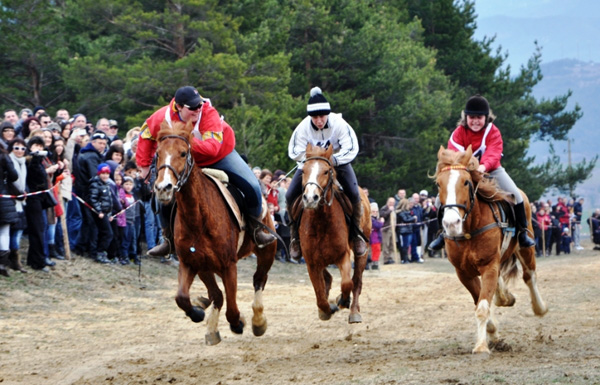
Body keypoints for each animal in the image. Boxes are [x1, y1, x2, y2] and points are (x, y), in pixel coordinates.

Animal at [154, 119, 278, 342]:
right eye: (158, 153)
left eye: (183, 153)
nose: (163, 188)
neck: (198, 218)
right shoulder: (192, 263)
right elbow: (183, 297)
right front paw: (198, 313)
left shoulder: (229, 265)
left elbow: (232, 308)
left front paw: (238, 322)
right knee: (218, 295)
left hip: (266, 251)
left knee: (259, 280)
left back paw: (258, 321)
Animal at [298, 142, 372, 322]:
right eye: (303, 171)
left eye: (326, 171)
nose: (310, 198)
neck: (321, 223)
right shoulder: (311, 262)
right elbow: (319, 295)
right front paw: (326, 310)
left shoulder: (343, 256)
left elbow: (347, 283)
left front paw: (343, 300)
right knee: (328, 279)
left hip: (362, 251)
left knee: (356, 281)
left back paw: (354, 312)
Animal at [436, 145, 548, 354]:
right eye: (439, 184)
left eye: (466, 182)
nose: (451, 223)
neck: (470, 229)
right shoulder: (463, 273)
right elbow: (480, 302)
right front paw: (493, 335)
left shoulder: (489, 266)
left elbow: (482, 307)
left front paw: (481, 346)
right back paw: (504, 297)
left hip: (525, 248)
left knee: (530, 276)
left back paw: (540, 308)